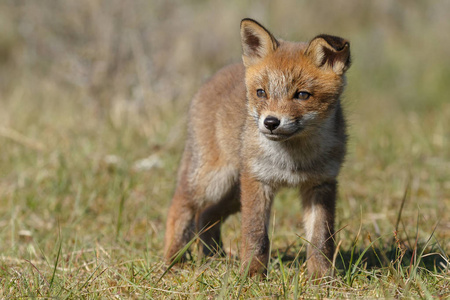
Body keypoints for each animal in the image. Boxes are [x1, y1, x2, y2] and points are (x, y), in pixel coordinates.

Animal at [165, 17, 352, 278]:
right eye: (261, 92)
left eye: (302, 95)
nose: (271, 122)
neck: (292, 159)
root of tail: (214, 76)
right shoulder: (257, 180)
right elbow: (256, 235)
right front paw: (252, 275)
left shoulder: (321, 183)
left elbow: (321, 238)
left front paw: (321, 277)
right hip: (214, 181)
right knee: (180, 206)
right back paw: (173, 261)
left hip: (233, 193)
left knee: (206, 215)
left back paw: (215, 258)